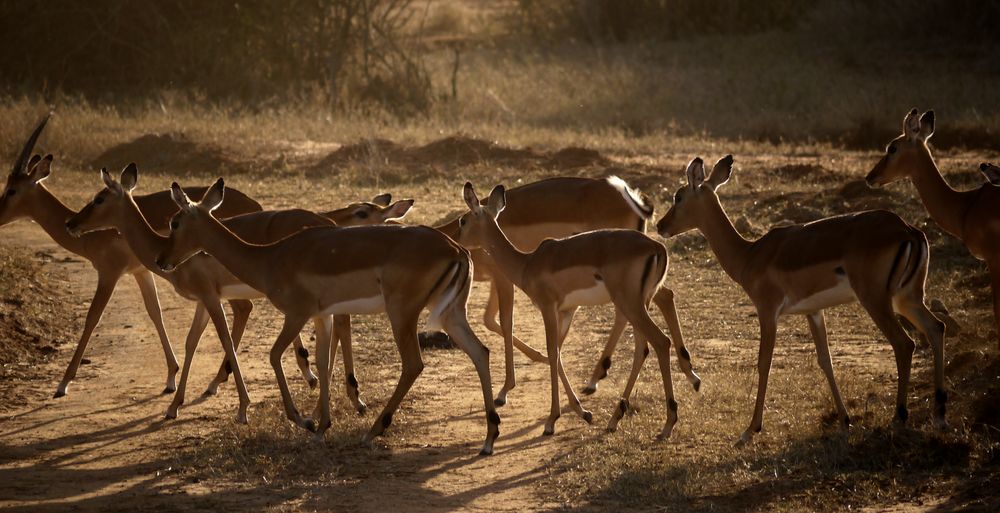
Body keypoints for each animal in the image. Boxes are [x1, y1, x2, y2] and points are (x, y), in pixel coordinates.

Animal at [0, 116, 262, 396]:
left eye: (12, 190)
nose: (71, 224)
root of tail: (256, 205)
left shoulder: (109, 273)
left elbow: (93, 318)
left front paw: (63, 383)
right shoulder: (141, 271)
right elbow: (154, 311)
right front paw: (171, 377)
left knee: (243, 308)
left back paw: (215, 382)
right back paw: (216, 381)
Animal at [158, 178, 500, 454]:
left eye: (175, 222)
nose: (162, 260)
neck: (270, 258)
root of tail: (456, 249)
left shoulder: (297, 314)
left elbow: (275, 356)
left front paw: (304, 421)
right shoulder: (322, 316)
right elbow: (323, 361)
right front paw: (322, 427)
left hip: (403, 313)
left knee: (414, 364)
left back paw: (372, 431)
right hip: (451, 314)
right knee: (480, 352)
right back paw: (489, 438)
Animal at [458, 182, 700, 438]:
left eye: (463, 220)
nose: (458, 243)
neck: (527, 264)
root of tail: (657, 247)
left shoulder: (548, 308)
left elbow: (552, 353)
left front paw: (551, 420)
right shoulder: (567, 311)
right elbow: (556, 352)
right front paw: (583, 412)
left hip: (631, 304)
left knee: (661, 341)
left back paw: (667, 422)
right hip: (639, 304)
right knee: (642, 348)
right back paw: (616, 418)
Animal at [656, 155, 944, 444]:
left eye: (678, 196)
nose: (660, 225)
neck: (750, 255)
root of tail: (908, 230)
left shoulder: (767, 311)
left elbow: (764, 362)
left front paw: (749, 430)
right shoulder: (813, 311)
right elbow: (825, 360)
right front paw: (844, 421)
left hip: (876, 300)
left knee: (904, 344)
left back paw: (899, 417)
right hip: (907, 299)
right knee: (936, 327)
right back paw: (940, 415)